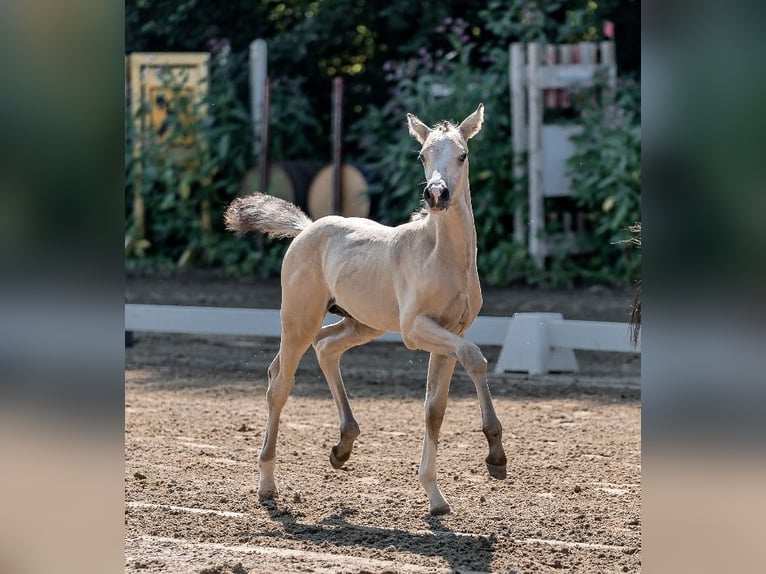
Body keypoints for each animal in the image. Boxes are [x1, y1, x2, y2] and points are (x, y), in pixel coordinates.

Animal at [225, 103, 508, 516]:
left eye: (463, 155)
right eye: (422, 156)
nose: (436, 194)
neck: (441, 255)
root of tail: (306, 229)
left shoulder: (451, 334)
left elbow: (435, 409)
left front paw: (435, 496)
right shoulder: (416, 330)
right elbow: (475, 358)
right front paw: (495, 456)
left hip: (361, 323)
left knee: (325, 348)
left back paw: (343, 446)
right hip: (300, 320)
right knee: (280, 384)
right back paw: (267, 485)